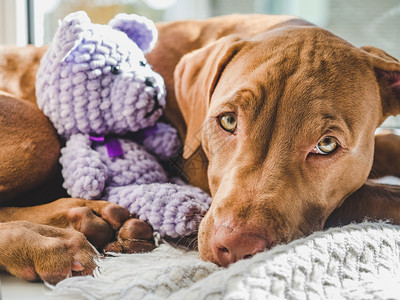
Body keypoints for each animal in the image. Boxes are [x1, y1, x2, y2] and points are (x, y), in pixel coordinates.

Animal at [0, 14, 398, 282]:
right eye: (228, 121)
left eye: (326, 144)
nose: (235, 246)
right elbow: (375, 195)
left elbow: (388, 144)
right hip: (37, 133)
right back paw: (48, 242)